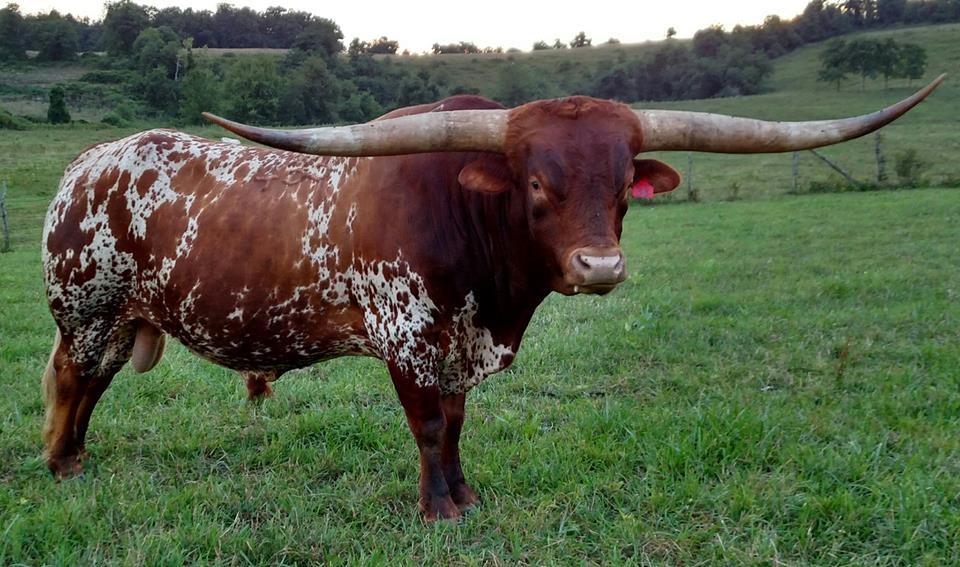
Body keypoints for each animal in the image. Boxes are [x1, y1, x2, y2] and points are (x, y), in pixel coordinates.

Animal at [41, 76, 944, 521]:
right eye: (537, 182)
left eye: (625, 183)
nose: (600, 266)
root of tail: (89, 162)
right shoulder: (408, 338)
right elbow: (428, 426)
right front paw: (438, 510)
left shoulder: (461, 346)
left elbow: (457, 425)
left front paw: (467, 495)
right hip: (87, 310)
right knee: (74, 381)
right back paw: (60, 465)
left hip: (121, 319)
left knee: (90, 384)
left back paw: (74, 459)